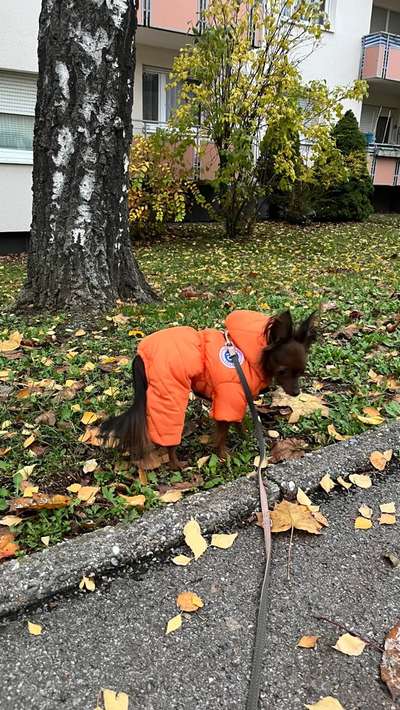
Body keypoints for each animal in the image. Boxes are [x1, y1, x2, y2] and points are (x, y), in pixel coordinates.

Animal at [101, 310, 318, 468]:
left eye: (302, 372)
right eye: (283, 371)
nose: (296, 392)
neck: (250, 355)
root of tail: (139, 356)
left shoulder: (239, 398)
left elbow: (238, 422)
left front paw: (245, 437)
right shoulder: (228, 399)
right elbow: (222, 434)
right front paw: (224, 456)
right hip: (171, 393)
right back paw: (176, 464)